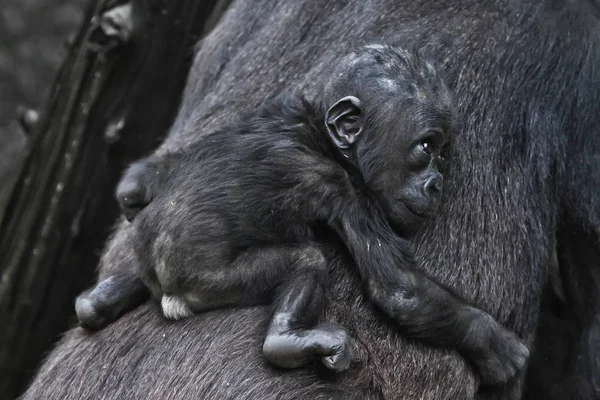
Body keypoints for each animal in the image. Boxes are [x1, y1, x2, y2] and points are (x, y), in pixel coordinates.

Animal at [76, 44, 528, 384]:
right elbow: (400, 289)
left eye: (444, 153)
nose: (436, 182)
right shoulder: (344, 189)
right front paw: (497, 344)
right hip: (209, 283)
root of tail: (168, 293)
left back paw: (95, 302)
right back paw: (286, 341)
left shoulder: (278, 105)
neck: (321, 135)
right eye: (426, 146)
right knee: (306, 260)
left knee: (99, 299)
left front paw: (136, 186)